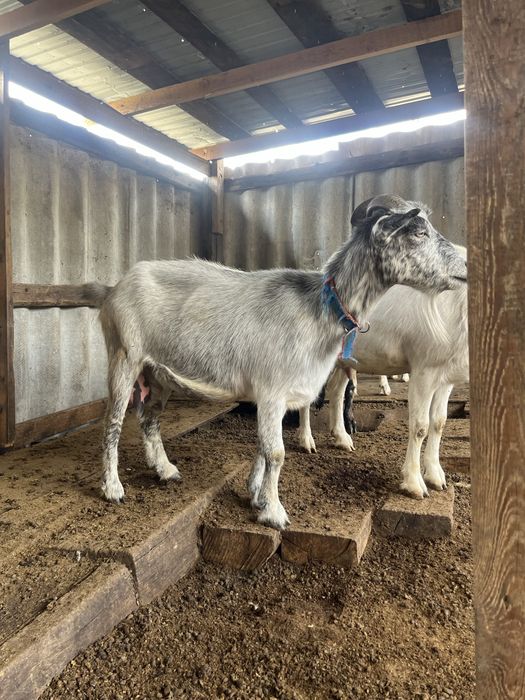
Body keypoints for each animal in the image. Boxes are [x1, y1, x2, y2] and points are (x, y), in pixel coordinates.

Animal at [298, 245, 468, 499]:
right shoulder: (424, 369)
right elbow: (420, 426)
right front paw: (414, 483)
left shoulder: (445, 374)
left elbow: (439, 422)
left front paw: (436, 476)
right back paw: (306, 441)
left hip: (342, 358)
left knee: (336, 391)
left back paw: (342, 438)